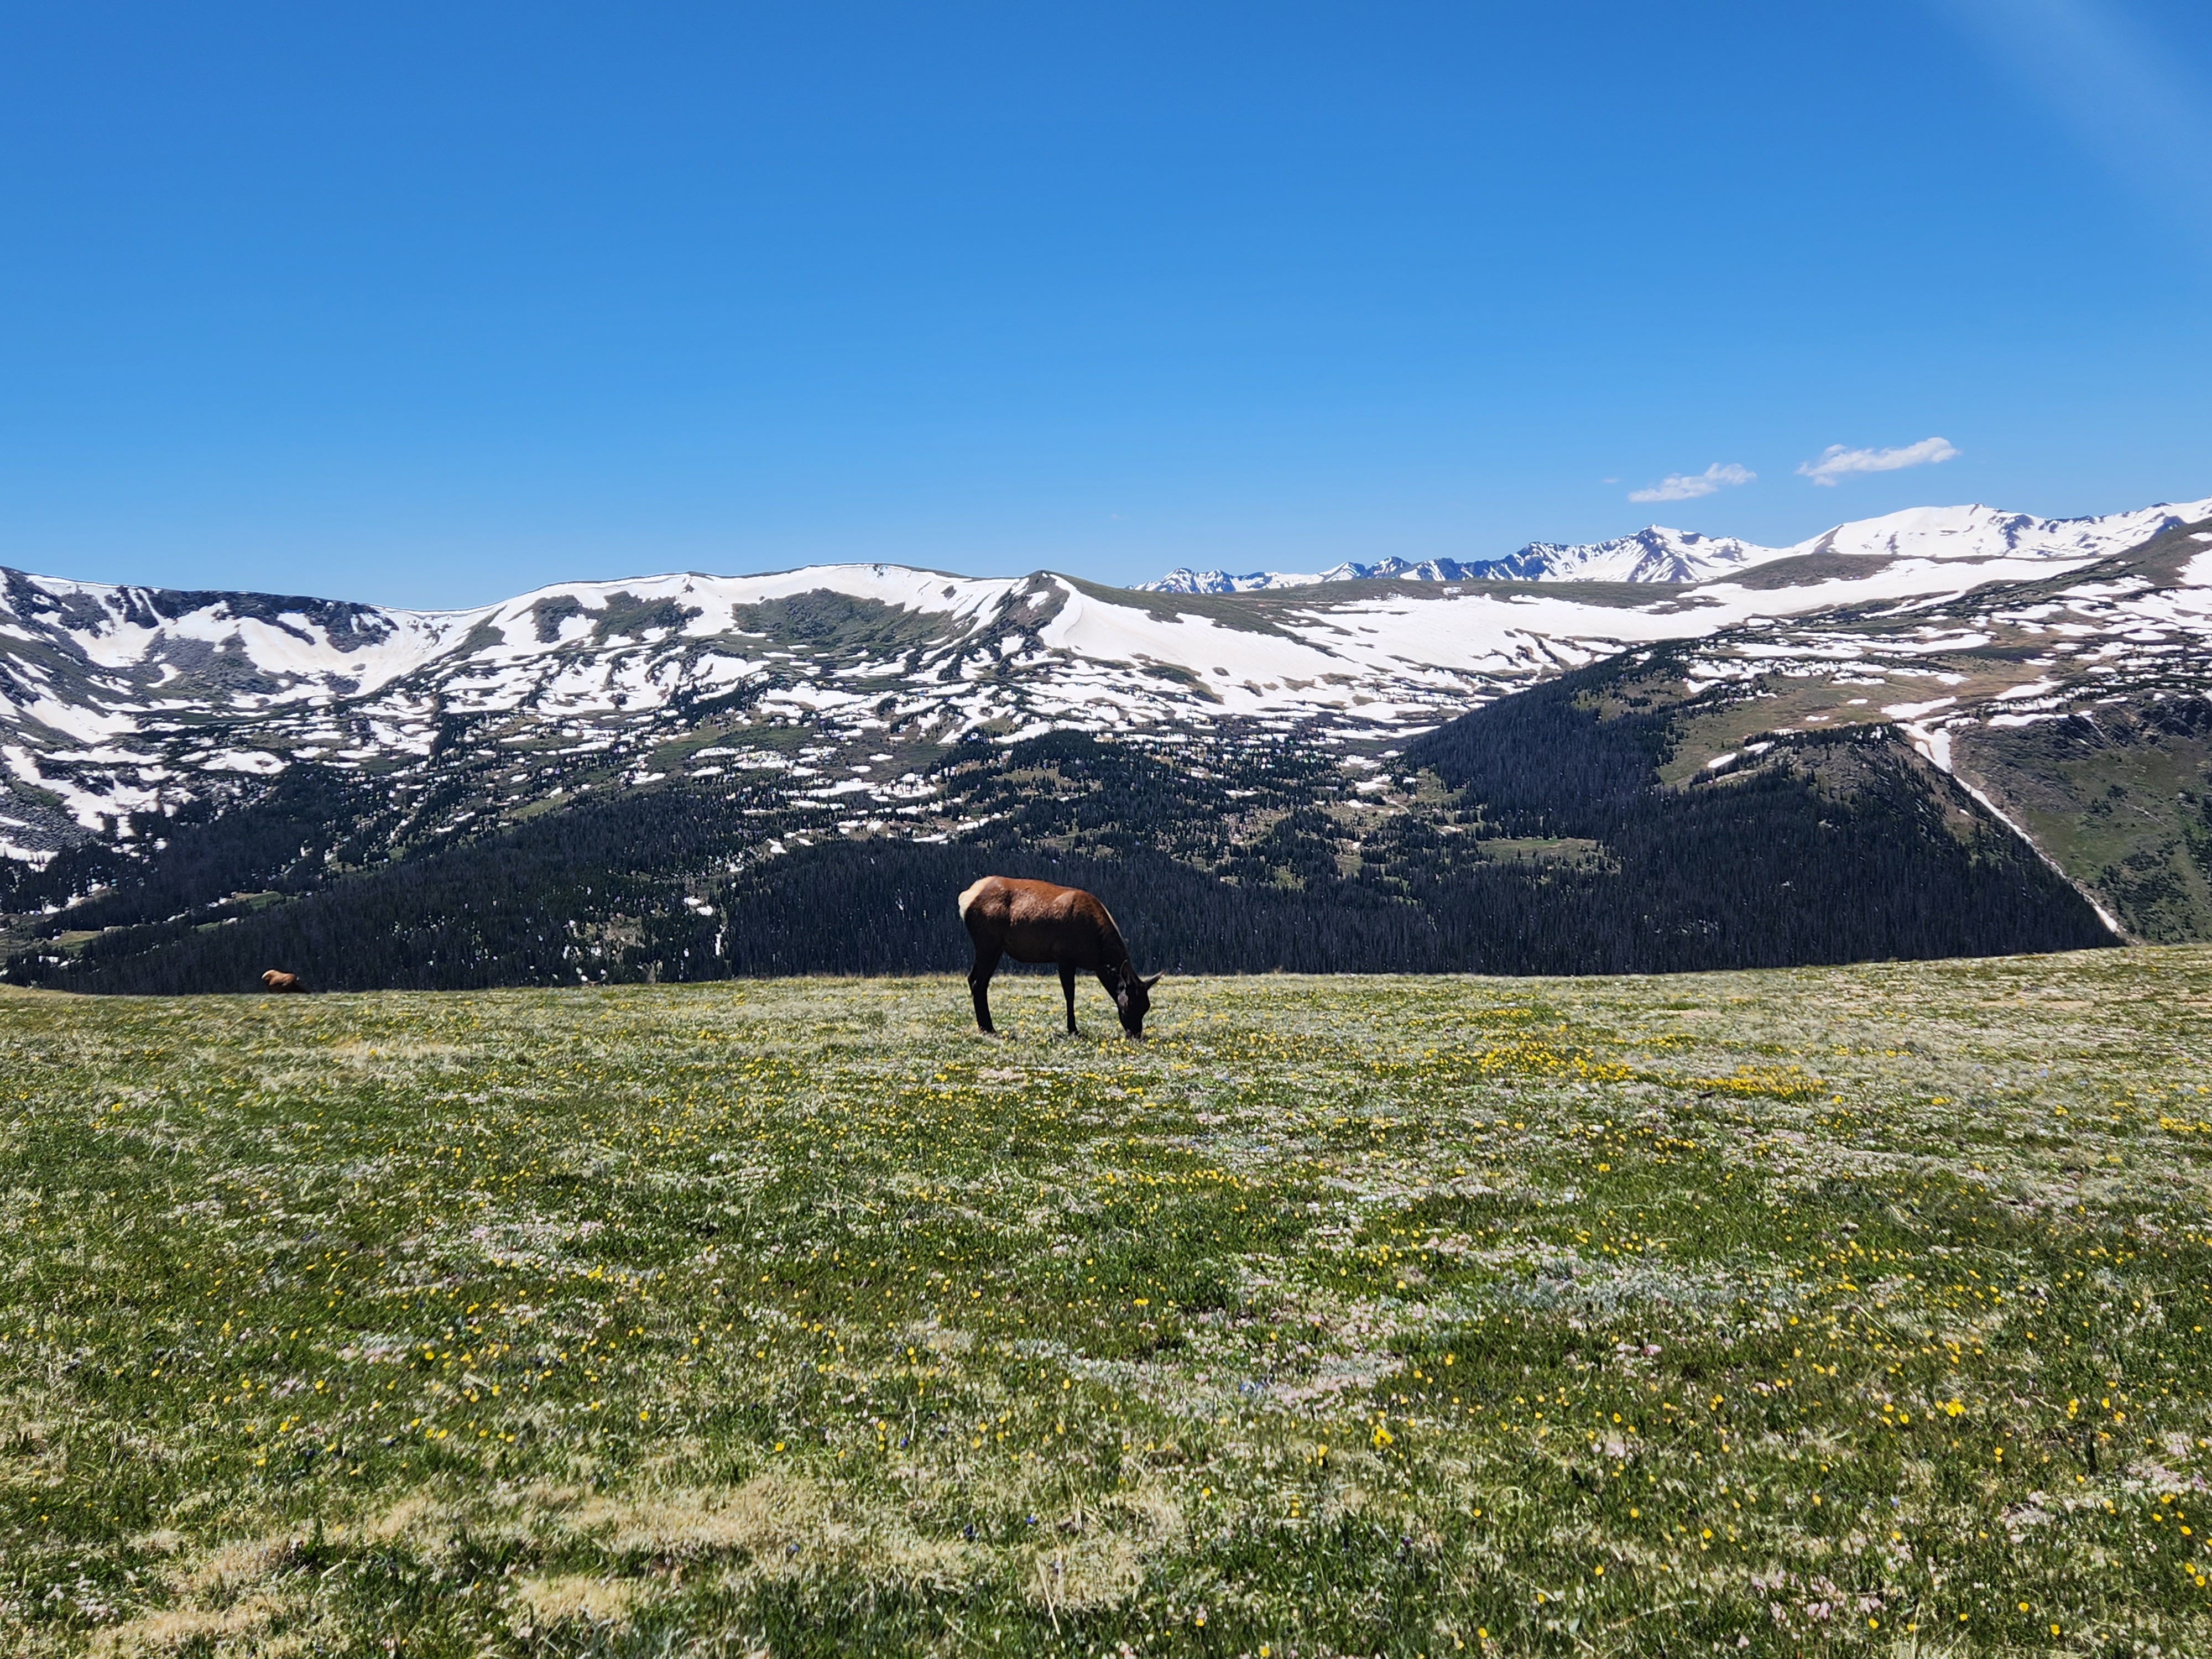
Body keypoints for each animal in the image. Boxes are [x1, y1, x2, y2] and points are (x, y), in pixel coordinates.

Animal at [957, 875, 1161, 1039]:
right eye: (1130, 1003)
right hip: (987, 943)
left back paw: (987, 1027)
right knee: (976, 979)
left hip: (995, 948)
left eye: (1147, 1006)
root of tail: (965, 898)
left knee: (980, 981)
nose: (1135, 1034)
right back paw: (988, 1028)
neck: (1097, 955)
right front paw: (1073, 1030)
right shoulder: (1065, 956)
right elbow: (1069, 994)